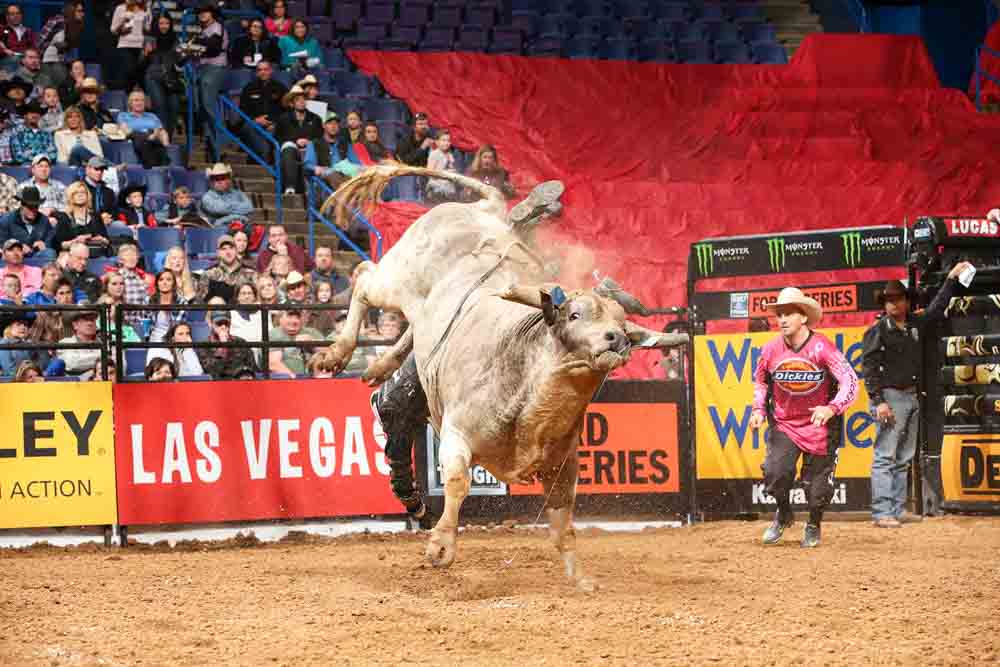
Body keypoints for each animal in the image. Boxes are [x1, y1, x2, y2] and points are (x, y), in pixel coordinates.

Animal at [320, 164, 688, 592]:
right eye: (575, 314)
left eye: (622, 324)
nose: (616, 339)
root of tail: (480, 210)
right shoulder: (456, 434)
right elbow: (458, 482)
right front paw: (441, 546)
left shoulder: (562, 467)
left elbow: (562, 525)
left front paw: (581, 579)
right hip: (397, 278)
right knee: (364, 278)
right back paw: (336, 353)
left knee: (408, 333)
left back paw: (378, 368)